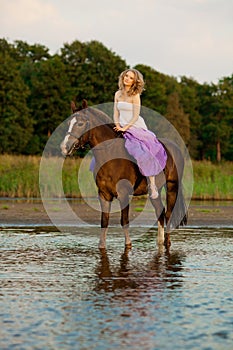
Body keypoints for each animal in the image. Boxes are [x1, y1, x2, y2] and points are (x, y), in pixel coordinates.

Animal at [60, 100, 187, 250]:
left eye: (80, 123)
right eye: (69, 123)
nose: (64, 147)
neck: (111, 155)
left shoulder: (124, 194)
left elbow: (124, 220)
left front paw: (128, 245)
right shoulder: (104, 194)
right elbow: (104, 221)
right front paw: (102, 246)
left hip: (172, 187)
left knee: (168, 214)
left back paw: (166, 242)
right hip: (155, 191)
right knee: (160, 212)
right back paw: (160, 242)